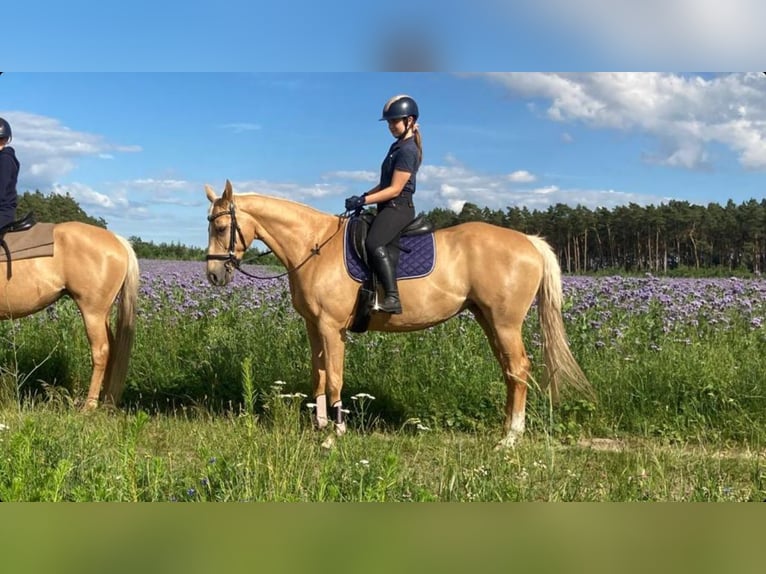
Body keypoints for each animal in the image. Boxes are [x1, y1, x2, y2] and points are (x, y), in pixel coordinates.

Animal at [204, 180, 592, 450]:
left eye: (221, 228)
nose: (214, 275)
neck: (314, 247)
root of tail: (529, 242)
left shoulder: (332, 328)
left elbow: (334, 379)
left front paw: (334, 435)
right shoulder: (313, 327)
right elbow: (318, 376)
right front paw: (320, 426)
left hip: (505, 322)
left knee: (519, 368)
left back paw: (510, 438)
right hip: (489, 320)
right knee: (511, 372)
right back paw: (506, 431)